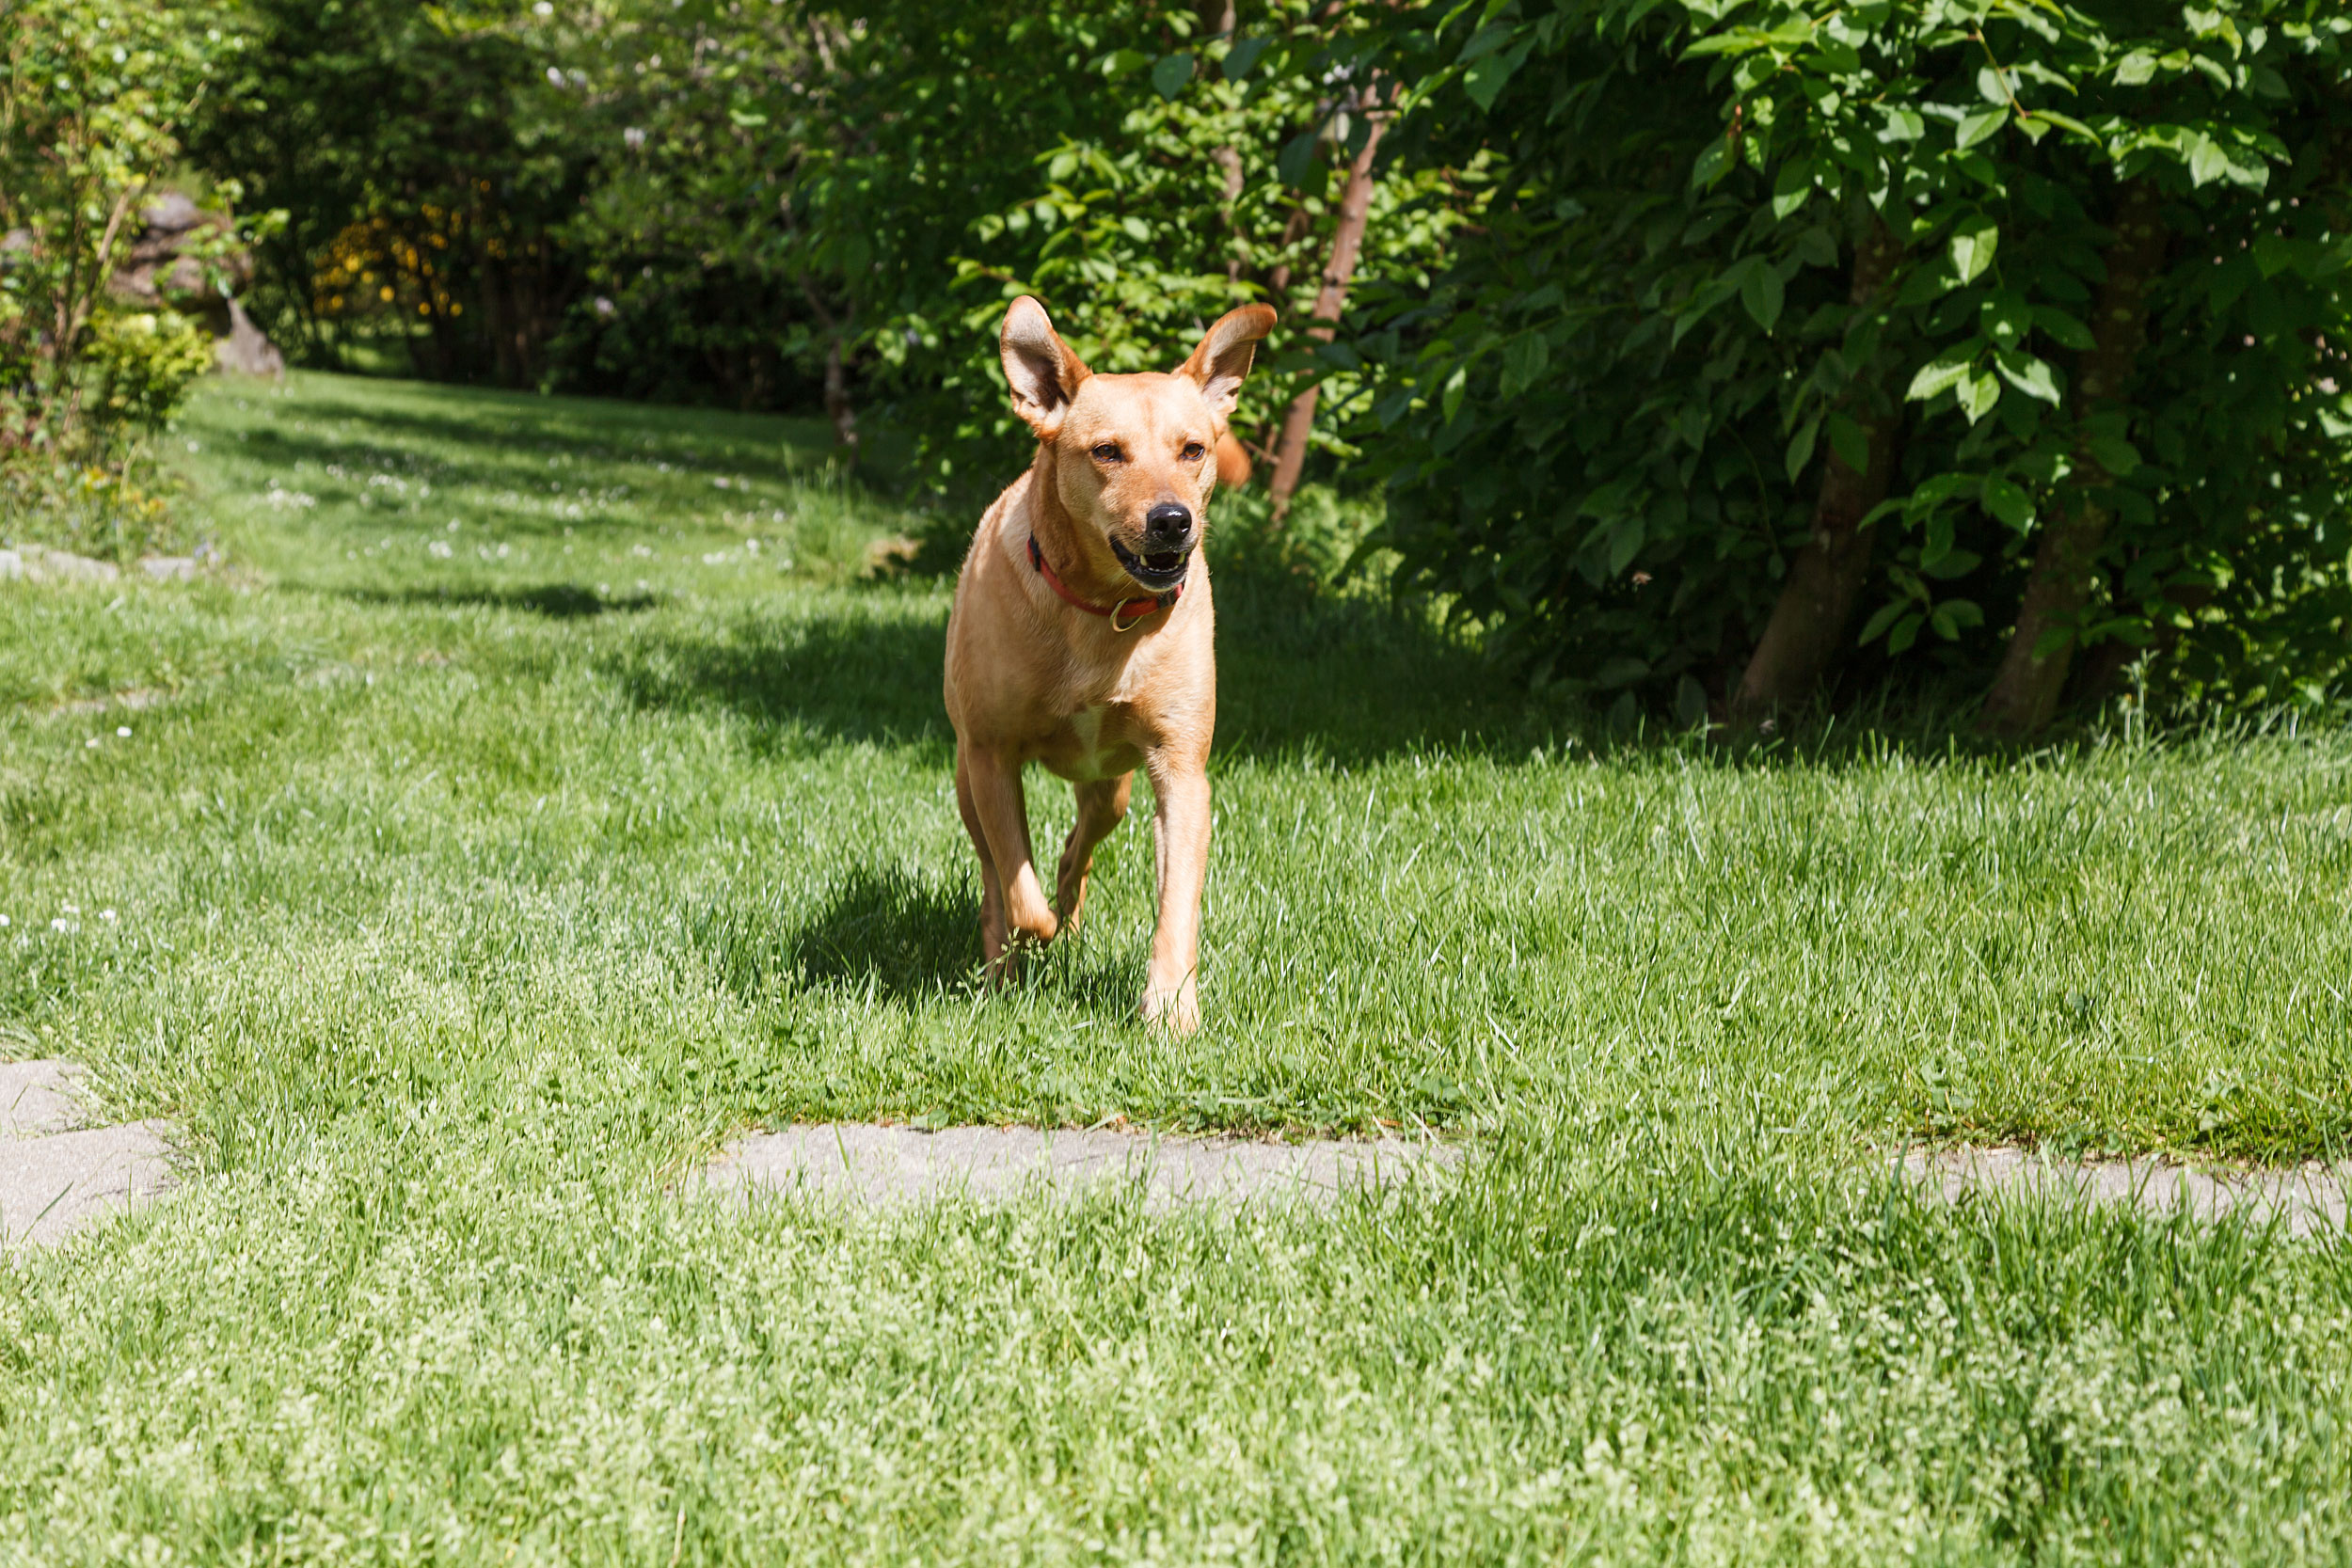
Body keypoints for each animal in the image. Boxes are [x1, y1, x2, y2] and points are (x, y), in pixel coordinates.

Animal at [941, 298, 1279, 1034]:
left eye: (1193, 449)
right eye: (1106, 451)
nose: (1172, 520)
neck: (1102, 613)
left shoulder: (1181, 769)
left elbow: (1178, 900)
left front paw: (1172, 1009)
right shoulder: (991, 755)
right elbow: (1017, 881)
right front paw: (1027, 934)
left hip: (1112, 793)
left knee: (1079, 848)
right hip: (966, 778)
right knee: (995, 869)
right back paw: (1004, 962)